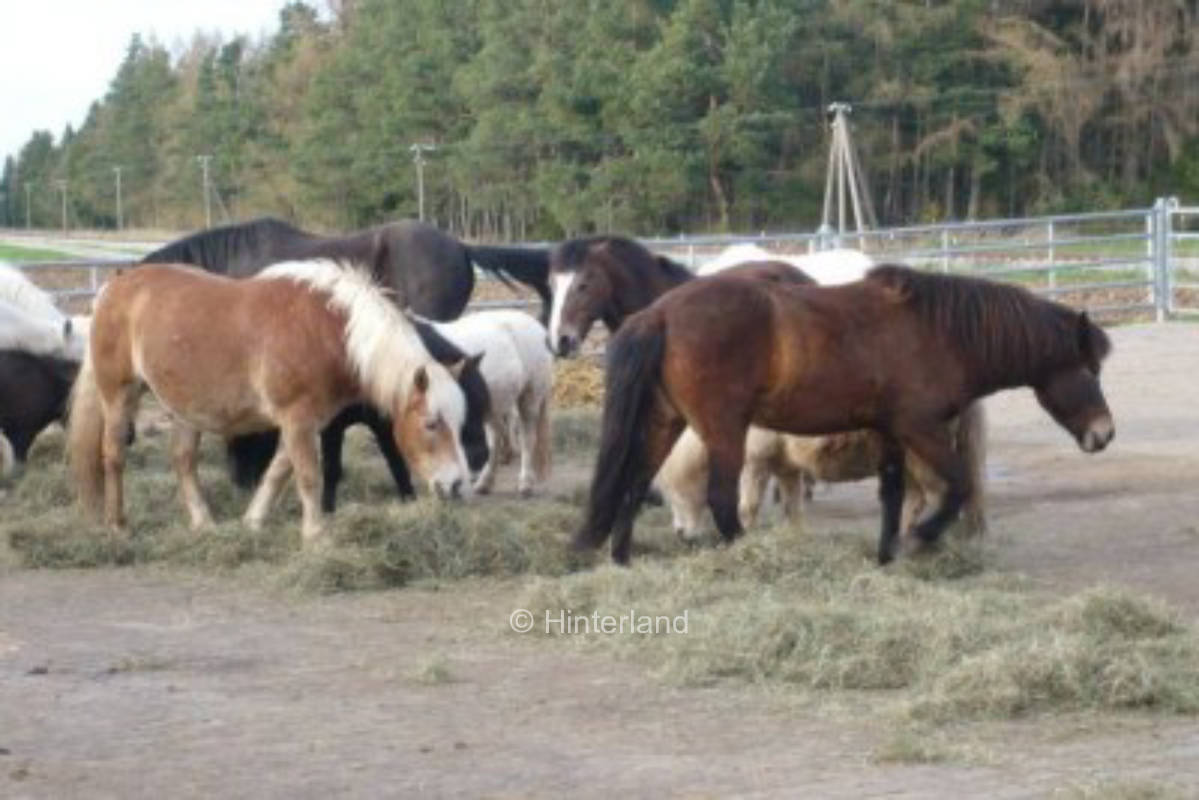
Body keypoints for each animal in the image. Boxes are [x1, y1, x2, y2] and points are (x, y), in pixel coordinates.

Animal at [225, 316, 491, 510]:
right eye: (435, 421)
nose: (481, 457)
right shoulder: (332, 426)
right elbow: (332, 468)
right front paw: (327, 509)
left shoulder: (386, 425)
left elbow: (397, 464)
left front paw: (409, 500)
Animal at [424, 309, 553, 496]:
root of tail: (539, 328)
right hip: (493, 408)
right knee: (496, 439)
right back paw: (485, 483)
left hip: (529, 396)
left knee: (527, 438)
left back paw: (524, 484)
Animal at [575, 266, 1107, 566]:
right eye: (1089, 367)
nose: (1104, 433)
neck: (937, 331)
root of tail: (660, 314)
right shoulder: (921, 430)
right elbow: (955, 486)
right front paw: (920, 540)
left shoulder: (891, 434)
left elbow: (892, 496)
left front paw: (887, 555)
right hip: (722, 430)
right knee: (722, 500)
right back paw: (749, 556)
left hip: (665, 421)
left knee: (634, 483)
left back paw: (621, 559)